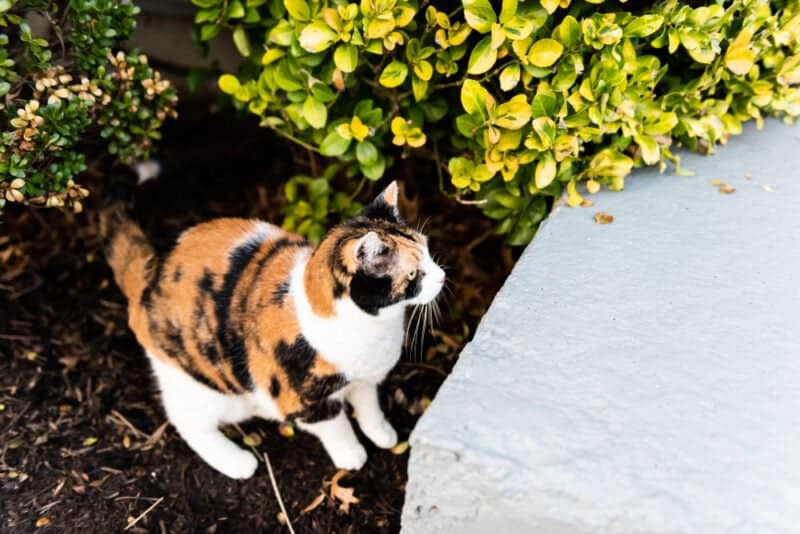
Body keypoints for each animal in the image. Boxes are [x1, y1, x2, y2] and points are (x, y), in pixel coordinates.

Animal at [101, 177, 444, 482]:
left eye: (428, 249)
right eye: (413, 274)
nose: (442, 276)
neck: (373, 328)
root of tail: (150, 274)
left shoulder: (365, 378)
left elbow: (368, 405)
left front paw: (382, 434)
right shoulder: (302, 401)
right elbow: (335, 426)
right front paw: (351, 454)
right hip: (203, 383)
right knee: (186, 419)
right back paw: (235, 461)